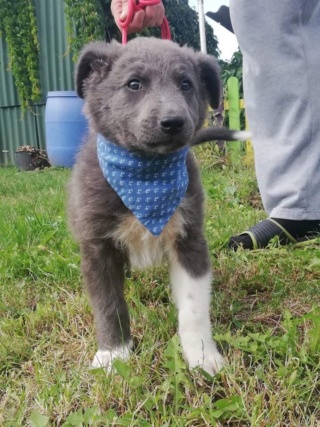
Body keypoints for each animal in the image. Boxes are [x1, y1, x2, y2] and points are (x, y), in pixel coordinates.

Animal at [67, 38, 242, 376]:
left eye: (186, 84)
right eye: (134, 84)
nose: (173, 122)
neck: (146, 175)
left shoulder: (190, 239)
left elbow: (194, 307)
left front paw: (202, 357)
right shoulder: (97, 247)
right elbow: (108, 304)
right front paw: (113, 355)